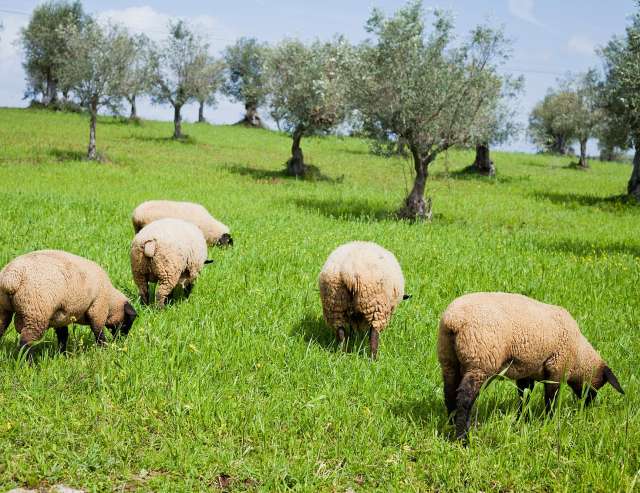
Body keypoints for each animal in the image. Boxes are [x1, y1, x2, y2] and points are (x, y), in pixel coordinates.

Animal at [0, 250, 137, 356]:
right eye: (128, 321)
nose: (121, 340)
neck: (110, 300)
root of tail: (11, 278)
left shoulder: (61, 317)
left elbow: (63, 336)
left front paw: (62, 354)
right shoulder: (98, 309)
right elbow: (98, 333)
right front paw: (104, 350)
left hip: (5, 311)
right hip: (36, 313)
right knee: (26, 342)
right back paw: (30, 364)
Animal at [437, 292, 625, 441]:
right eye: (598, 385)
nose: (587, 406)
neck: (578, 355)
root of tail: (454, 320)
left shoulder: (526, 371)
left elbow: (524, 396)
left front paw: (523, 419)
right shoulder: (556, 369)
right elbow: (550, 399)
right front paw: (549, 420)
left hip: (449, 361)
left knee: (450, 393)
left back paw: (451, 424)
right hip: (480, 361)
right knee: (464, 399)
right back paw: (462, 438)